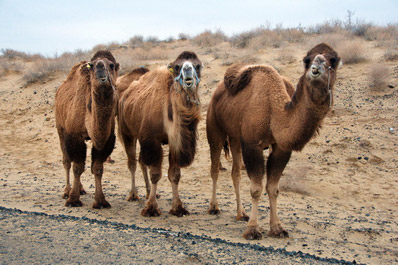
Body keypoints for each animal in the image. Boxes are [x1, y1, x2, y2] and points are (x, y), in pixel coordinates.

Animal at [54, 49, 119, 206]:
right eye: (92, 65)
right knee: (67, 161)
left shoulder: (106, 139)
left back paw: (81, 189)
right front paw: (73, 199)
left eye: (111, 65)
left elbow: (97, 168)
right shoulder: (74, 136)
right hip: (60, 128)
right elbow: (77, 167)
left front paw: (101, 201)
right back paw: (67, 191)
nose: (100, 67)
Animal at [116, 50, 202, 216]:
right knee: (132, 162)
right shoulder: (152, 139)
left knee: (141, 161)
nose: (188, 70)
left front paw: (178, 207)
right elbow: (155, 174)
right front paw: (151, 208)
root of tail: (124, 95)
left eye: (198, 65)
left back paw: (150, 192)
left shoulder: (175, 142)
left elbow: (174, 175)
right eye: (177, 66)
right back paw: (133, 194)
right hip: (127, 131)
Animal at [207, 43, 340, 239]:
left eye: (334, 60)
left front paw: (277, 228)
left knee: (235, 172)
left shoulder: (281, 149)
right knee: (215, 168)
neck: (274, 113)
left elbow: (273, 188)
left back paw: (241, 213)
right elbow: (256, 188)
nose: (316, 68)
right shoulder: (252, 144)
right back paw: (214, 207)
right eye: (307, 60)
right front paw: (253, 230)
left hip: (235, 137)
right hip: (214, 128)